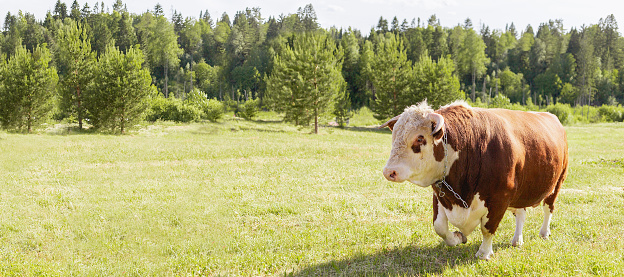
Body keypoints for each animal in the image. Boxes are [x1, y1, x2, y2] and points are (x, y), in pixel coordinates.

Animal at [380, 101, 572, 258]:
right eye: (394, 136)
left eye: (420, 138)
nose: (389, 171)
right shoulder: (440, 193)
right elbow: (439, 227)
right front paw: (458, 237)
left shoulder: (499, 198)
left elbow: (487, 228)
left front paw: (484, 253)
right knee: (521, 213)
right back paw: (517, 239)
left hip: (557, 183)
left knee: (548, 208)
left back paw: (544, 232)